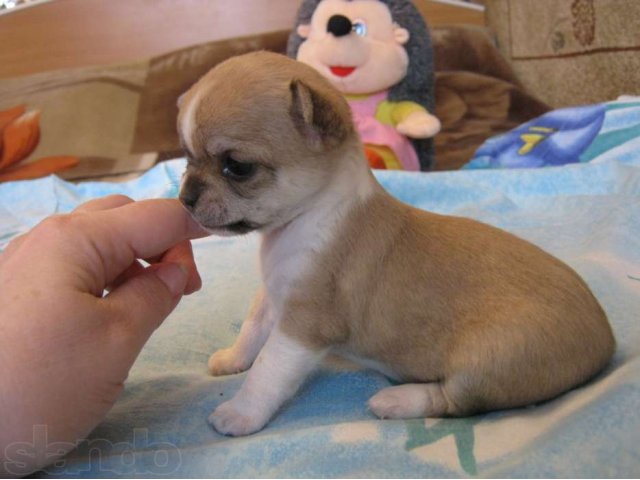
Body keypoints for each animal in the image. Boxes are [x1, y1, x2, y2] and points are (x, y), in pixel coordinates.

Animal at [178, 51, 616, 436]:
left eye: (237, 167)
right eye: (186, 158)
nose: (185, 197)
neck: (305, 219)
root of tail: (606, 341)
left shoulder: (303, 325)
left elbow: (269, 369)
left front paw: (240, 413)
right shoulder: (275, 297)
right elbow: (253, 328)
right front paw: (233, 358)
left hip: (489, 361)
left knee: (456, 401)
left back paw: (397, 399)